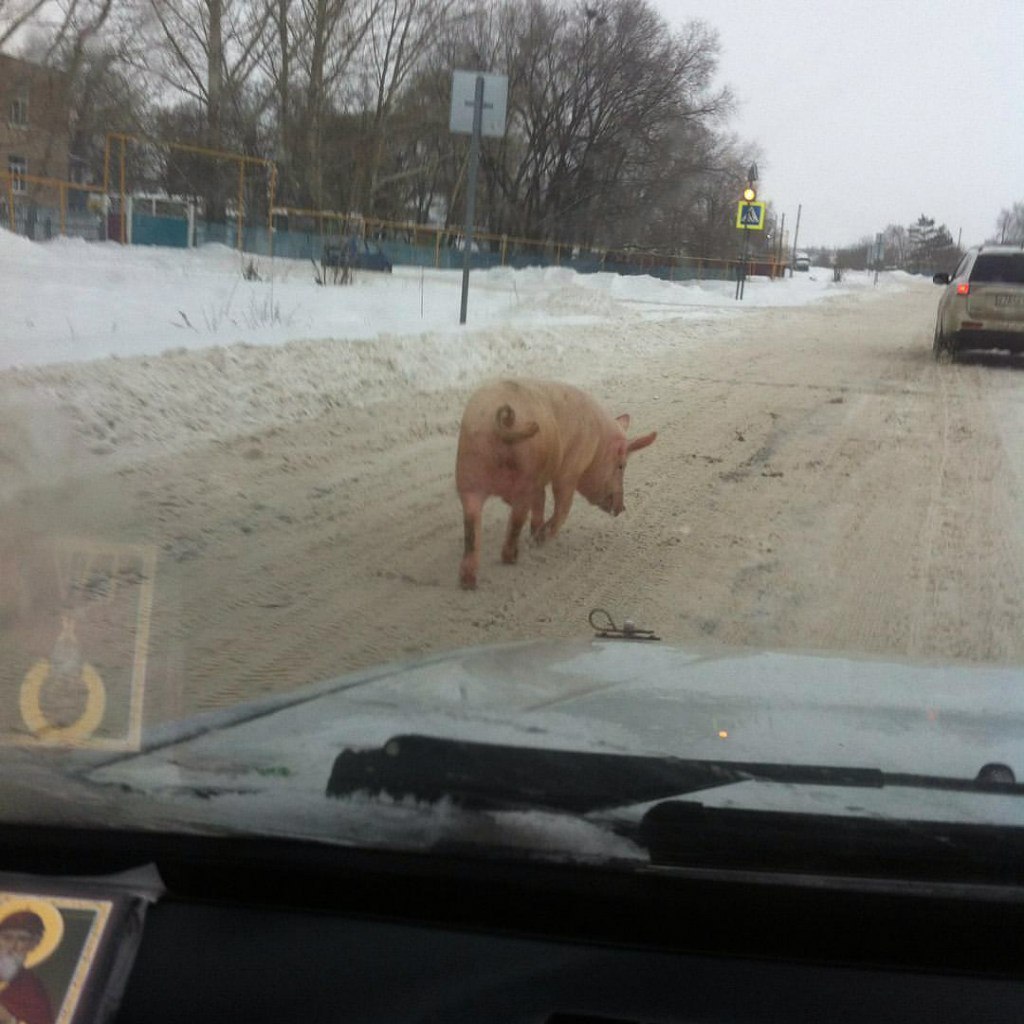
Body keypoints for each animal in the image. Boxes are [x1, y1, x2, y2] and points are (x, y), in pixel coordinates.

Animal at [454, 378, 655, 589]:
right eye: (622, 465)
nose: (622, 508)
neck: (598, 444)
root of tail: (505, 423)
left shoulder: (539, 482)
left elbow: (541, 501)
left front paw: (536, 531)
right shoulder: (569, 470)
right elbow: (563, 506)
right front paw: (540, 537)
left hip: (469, 474)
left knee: (472, 527)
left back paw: (468, 582)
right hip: (523, 478)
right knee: (517, 520)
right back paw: (518, 553)